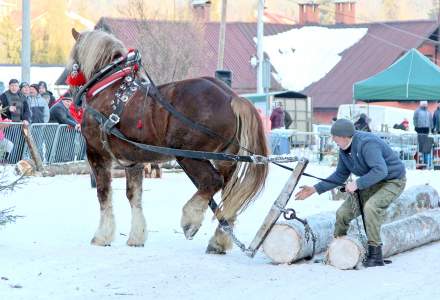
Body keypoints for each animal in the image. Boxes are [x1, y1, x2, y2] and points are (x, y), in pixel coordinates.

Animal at [68, 28, 268, 254]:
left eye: (73, 58)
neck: (108, 87)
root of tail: (232, 97)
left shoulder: (96, 154)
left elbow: (103, 193)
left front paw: (102, 236)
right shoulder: (133, 161)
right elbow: (134, 195)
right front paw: (137, 236)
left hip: (189, 155)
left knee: (211, 182)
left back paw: (190, 220)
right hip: (225, 158)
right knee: (229, 193)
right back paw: (218, 241)